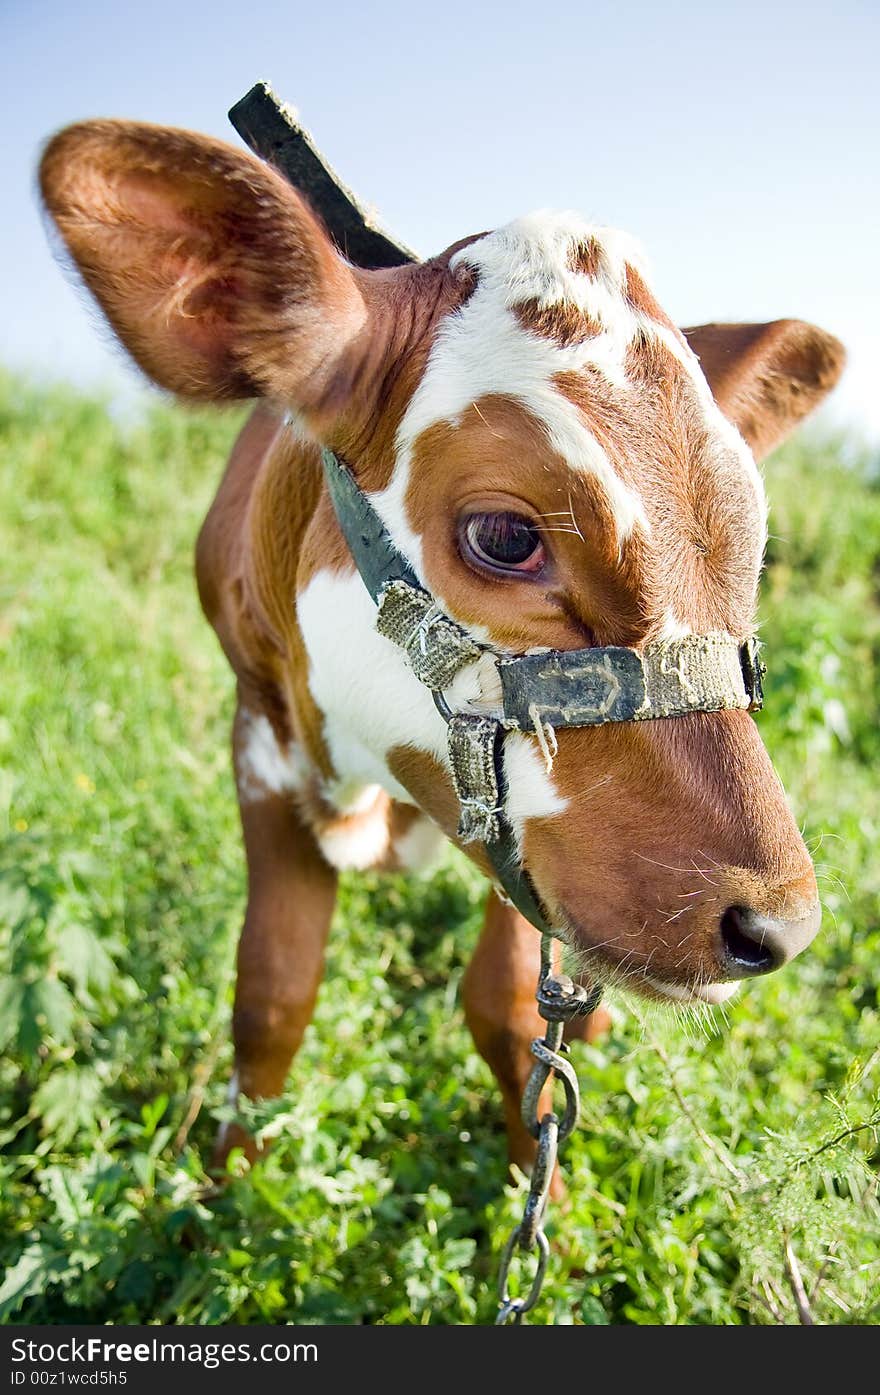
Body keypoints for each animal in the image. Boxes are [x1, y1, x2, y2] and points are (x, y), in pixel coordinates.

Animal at [41, 119, 847, 1177]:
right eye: (505, 534)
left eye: (751, 548)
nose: (777, 924)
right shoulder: (259, 731)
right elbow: (270, 991)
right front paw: (224, 1180)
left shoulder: (528, 848)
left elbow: (511, 1009)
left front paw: (536, 1181)